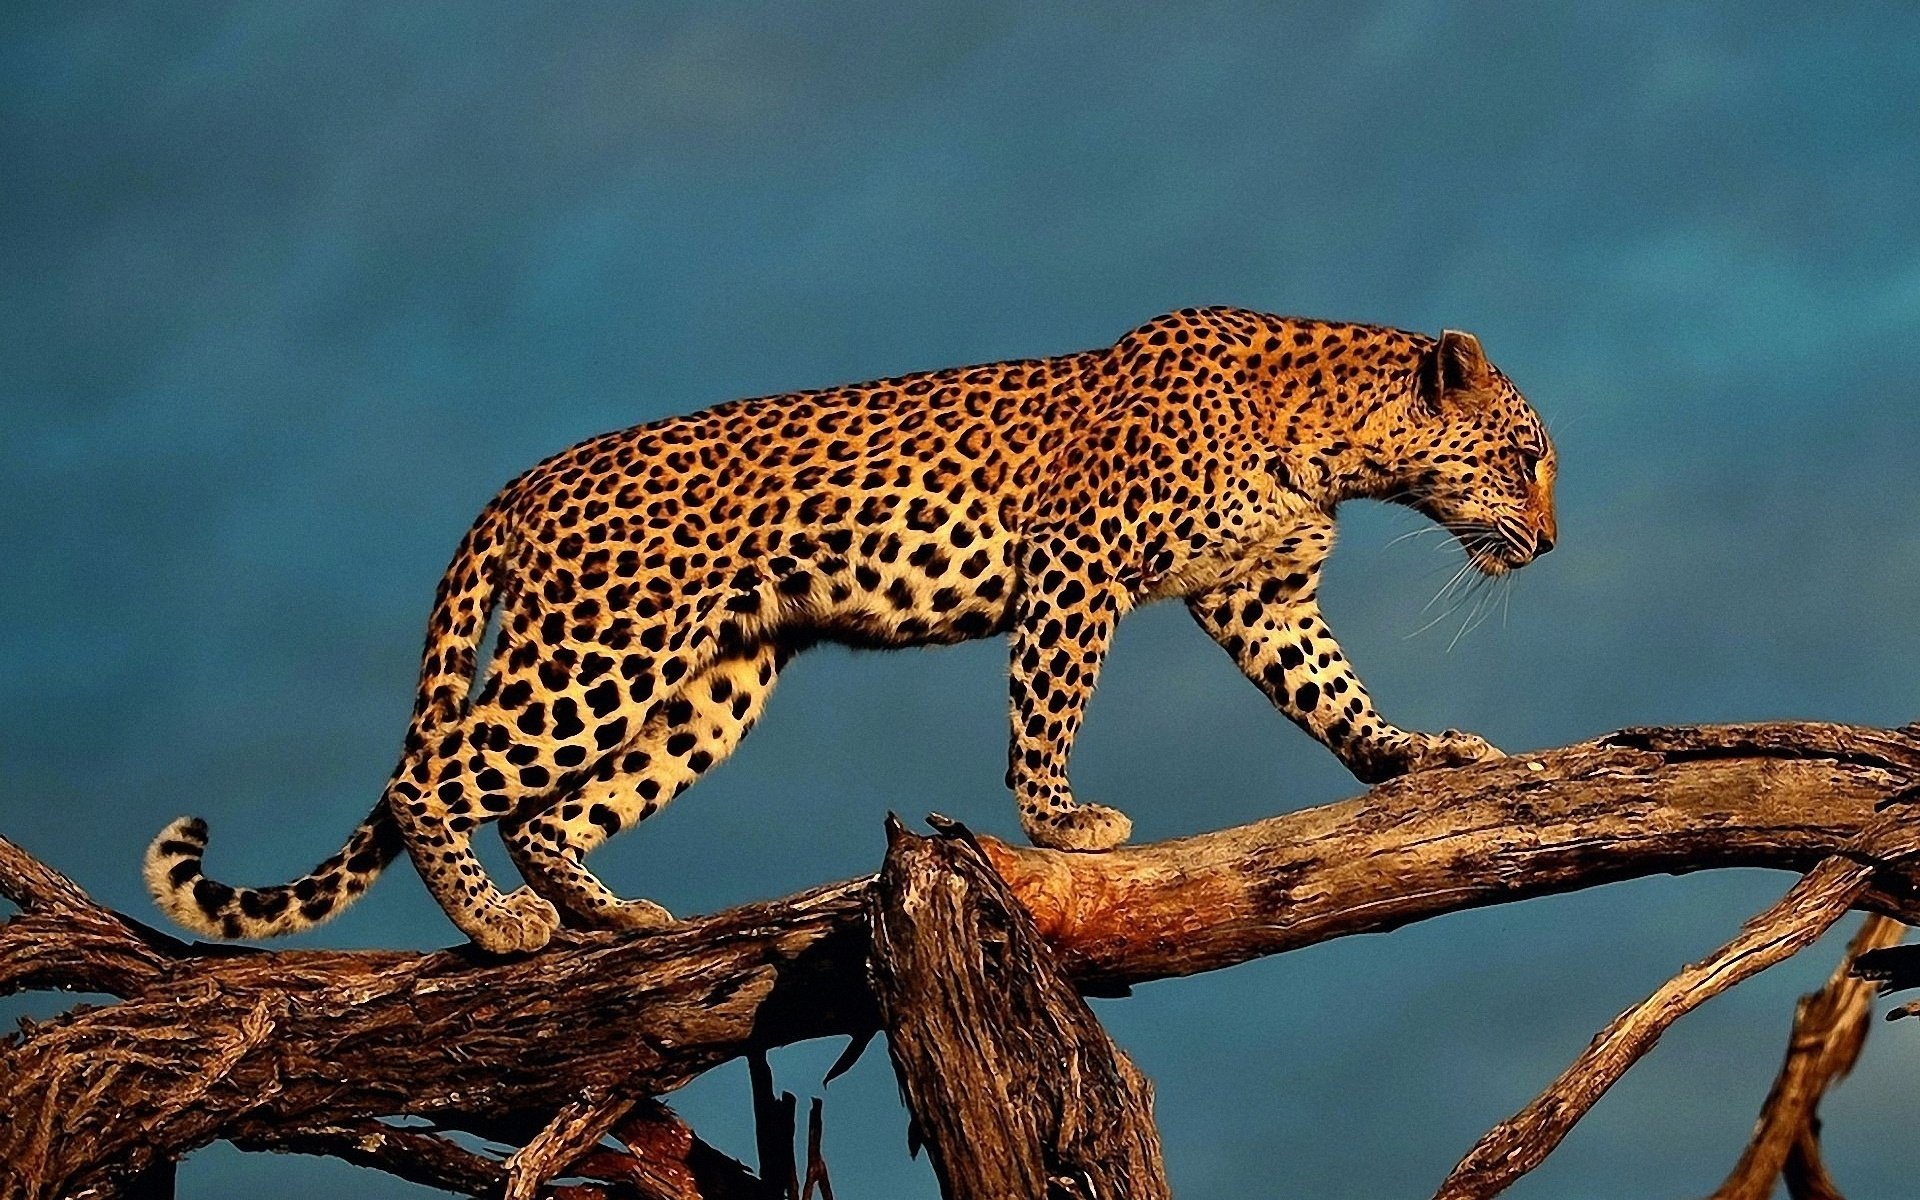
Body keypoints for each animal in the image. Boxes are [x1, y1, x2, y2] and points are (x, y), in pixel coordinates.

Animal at [145, 306, 1557, 954]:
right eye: (1525, 454)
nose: (1547, 546)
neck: (1340, 444)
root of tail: (526, 481)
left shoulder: (1260, 597)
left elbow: (1334, 696)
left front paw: (1419, 757)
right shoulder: (1076, 567)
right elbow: (1048, 705)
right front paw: (1062, 825)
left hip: (711, 679)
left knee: (548, 811)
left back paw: (612, 916)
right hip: (602, 650)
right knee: (433, 773)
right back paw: (500, 926)